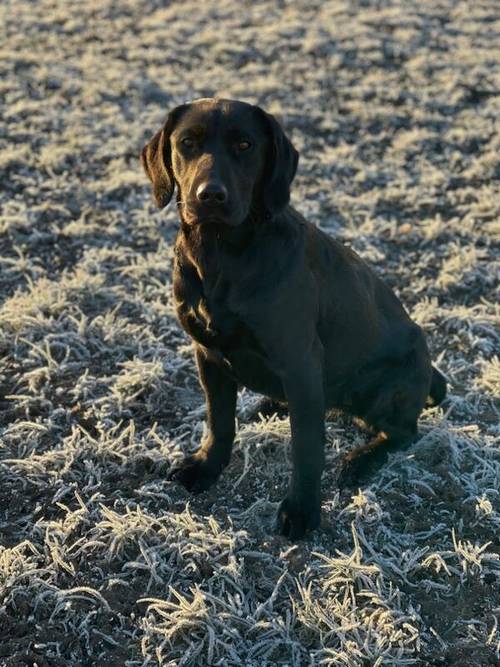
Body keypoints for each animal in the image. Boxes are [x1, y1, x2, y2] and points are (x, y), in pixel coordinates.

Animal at [140, 96, 446, 540]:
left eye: (245, 145)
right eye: (187, 143)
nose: (210, 195)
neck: (221, 256)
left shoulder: (300, 360)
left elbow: (306, 447)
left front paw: (302, 509)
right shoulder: (207, 354)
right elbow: (219, 422)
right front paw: (207, 466)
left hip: (380, 389)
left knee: (404, 431)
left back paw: (359, 461)